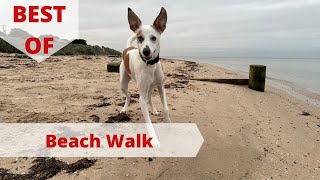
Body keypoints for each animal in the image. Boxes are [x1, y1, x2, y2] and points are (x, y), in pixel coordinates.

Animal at [119, 7, 170, 147]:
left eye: (154, 38)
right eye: (140, 38)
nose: (145, 51)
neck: (150, 65)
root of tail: (128, 48)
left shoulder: (161, 86)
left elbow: (166, 108)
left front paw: (168, 122)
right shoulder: (141, 96)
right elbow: (148, 121)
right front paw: (154, 140)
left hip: (151, 87)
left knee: (150, 99)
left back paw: (153, 109)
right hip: (123, 83)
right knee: (129, 96)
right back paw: (124, 109)